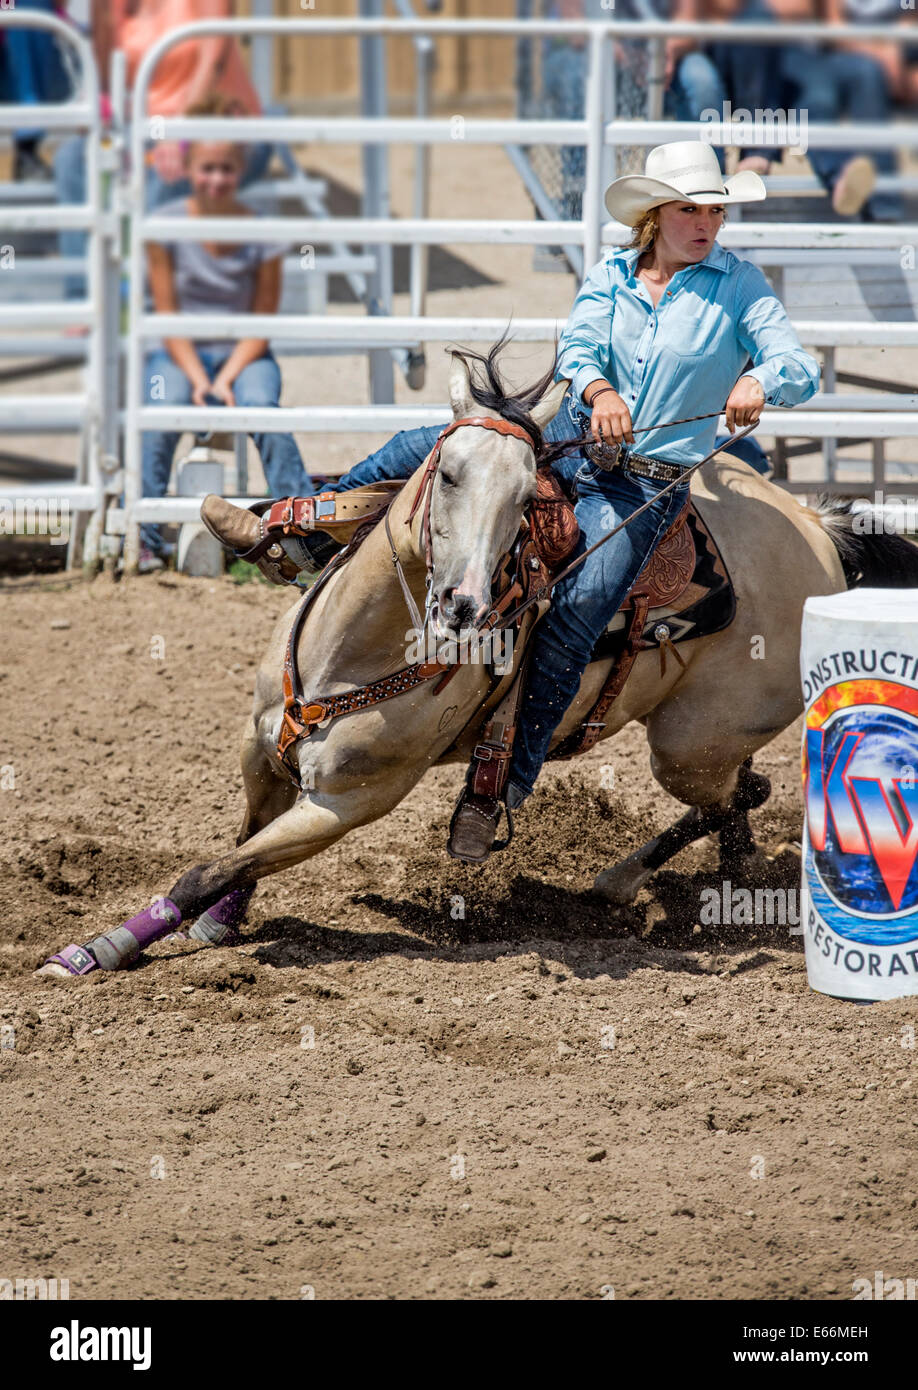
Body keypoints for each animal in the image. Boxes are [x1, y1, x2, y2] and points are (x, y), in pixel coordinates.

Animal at [39, 346, 918, 978]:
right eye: (449, 471)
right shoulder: (261, 752)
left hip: (688, 744)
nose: (463, 606)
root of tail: (819, 529)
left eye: (528, 496)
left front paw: (92, 952)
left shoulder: (349, 805)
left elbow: (206, 870)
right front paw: (220, 922)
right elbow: (236, 853)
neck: (352, 653)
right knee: (745, 793)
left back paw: (624, 880)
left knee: (742, 789)